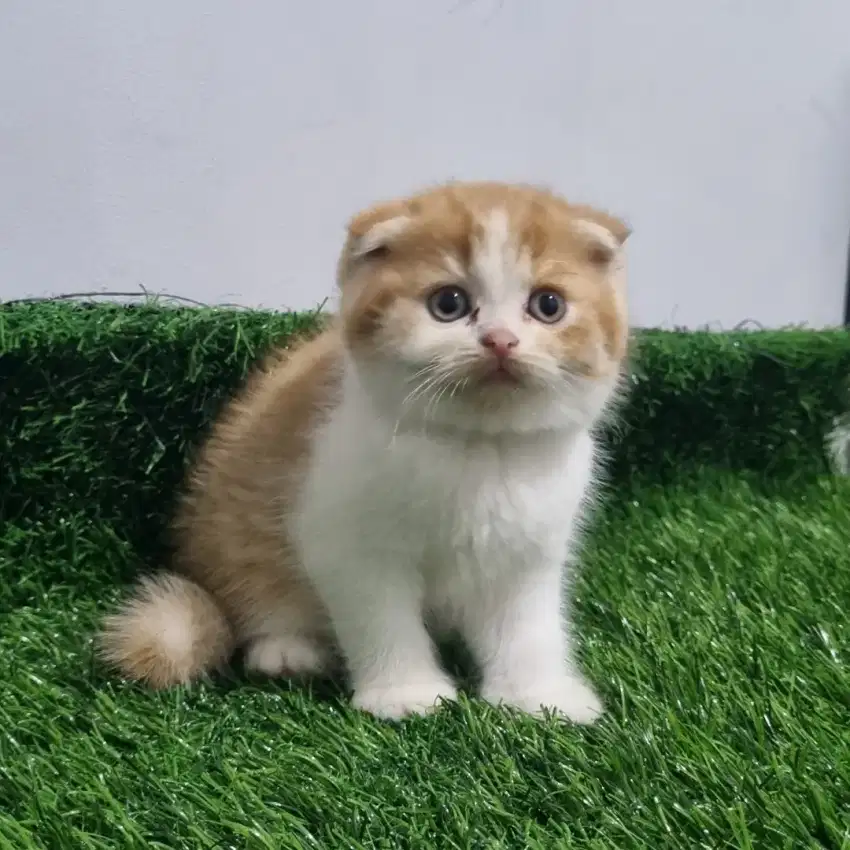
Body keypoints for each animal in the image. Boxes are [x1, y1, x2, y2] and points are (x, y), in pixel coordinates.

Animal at [99, 181, 628, 724]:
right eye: (449, 303)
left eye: (548, 305)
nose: (500, 340)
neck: (476, 447)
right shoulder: (346, 539)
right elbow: (381, 618)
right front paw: (405, 692)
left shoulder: (531, 547)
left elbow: (528, 626)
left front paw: (539, 695)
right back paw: (287, 649)